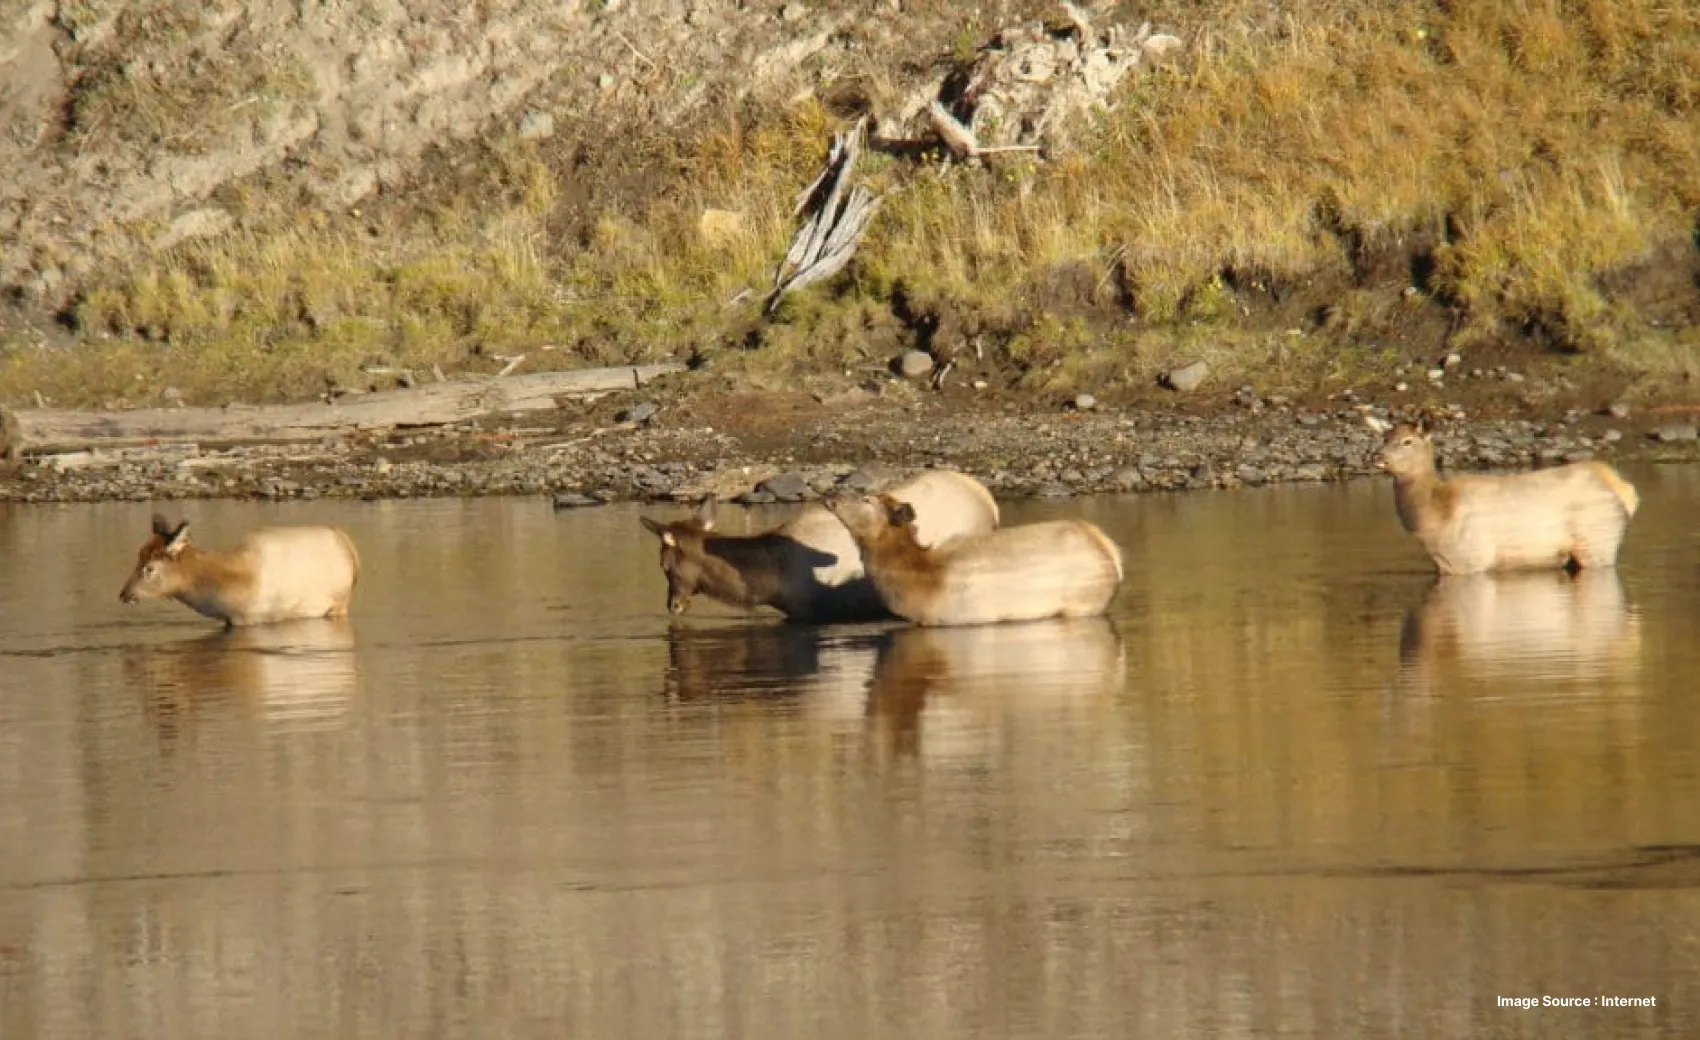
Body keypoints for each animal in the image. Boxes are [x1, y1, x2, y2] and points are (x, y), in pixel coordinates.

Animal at [1373, 419, 1639, 575]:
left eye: (1407, 441)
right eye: (1385, 438)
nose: (1377, 456)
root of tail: (1625, 490)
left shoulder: (1472, 559)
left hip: (1598, 540)